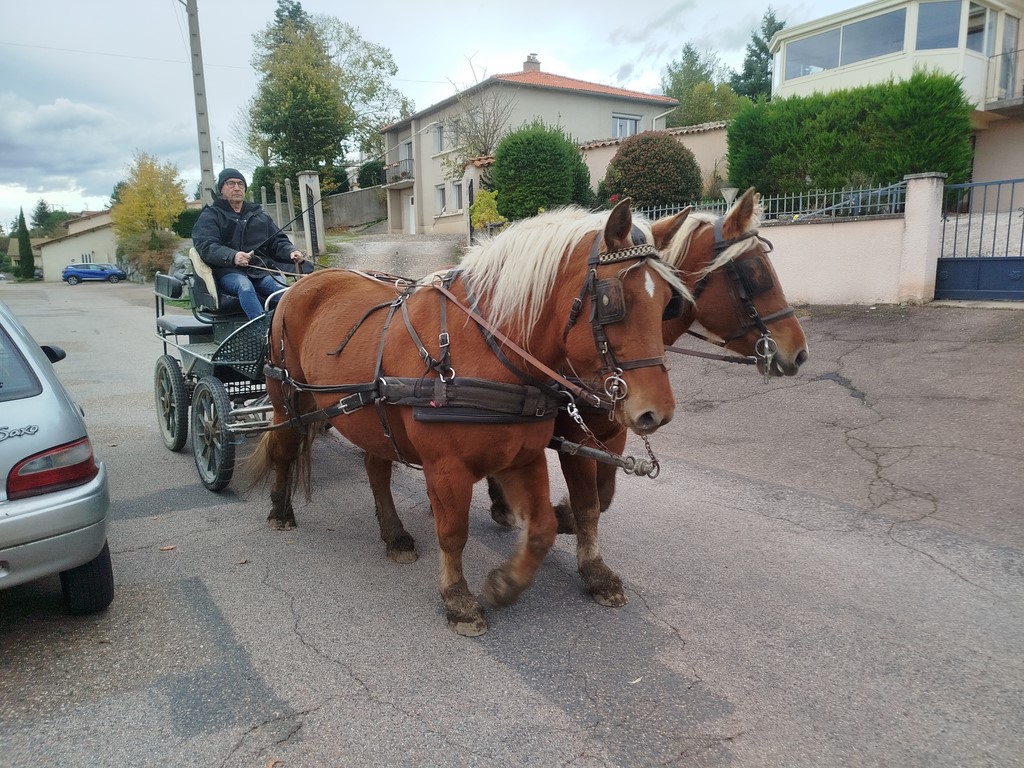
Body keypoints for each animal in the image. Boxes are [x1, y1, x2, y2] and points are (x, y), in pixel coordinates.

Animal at [245, 198, 689, 636]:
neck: (487, 345)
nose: (657, 412)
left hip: (371, 415)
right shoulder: (447, 467)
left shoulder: (527, 455)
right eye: (613, 301)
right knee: (285, 449)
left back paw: (394, 535)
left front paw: (507, 583)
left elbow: (550, 523)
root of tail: (298, 285)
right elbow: (454, 532)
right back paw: (281, 510)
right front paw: (458, 600)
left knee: (376, 469)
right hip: (289, 401)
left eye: (669, 303)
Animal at [487, 188, 809, 606]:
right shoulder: (574, 437)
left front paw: (566, 522)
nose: (799, 353)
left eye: (667, 297)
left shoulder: (614, 433)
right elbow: (588, 502)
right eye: (755, 275)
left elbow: (604, 496)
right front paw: (593, 567)